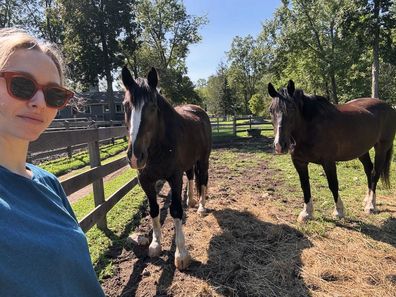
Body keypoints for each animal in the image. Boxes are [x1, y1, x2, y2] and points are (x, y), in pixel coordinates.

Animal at [122, 66, 212, 270]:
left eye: (153, 107)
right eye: (125, 106)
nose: (135, 156)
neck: (159, 146)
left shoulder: (174, 178)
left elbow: (176, 210)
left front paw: (181, 254)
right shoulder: (146, 181)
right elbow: (154, 210)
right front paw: (155, 244)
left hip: (203, 160)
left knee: (203, 180)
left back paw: (201, 207)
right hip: (190, 163)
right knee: (192, 177)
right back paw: (191, 201)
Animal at [268, 80, 394, 221]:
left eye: (292, 108)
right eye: (271, 110)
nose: (280, 145)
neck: (310, 127)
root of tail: (388, 107)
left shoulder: (328, 162)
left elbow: (333, 184)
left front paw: (338, 211)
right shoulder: (299, 162)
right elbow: (305, 185)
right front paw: (307, 213)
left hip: (381, 148)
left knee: (375, 174)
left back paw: (371, 206)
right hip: (362, 150)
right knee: (369, 170)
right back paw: (367, 200)